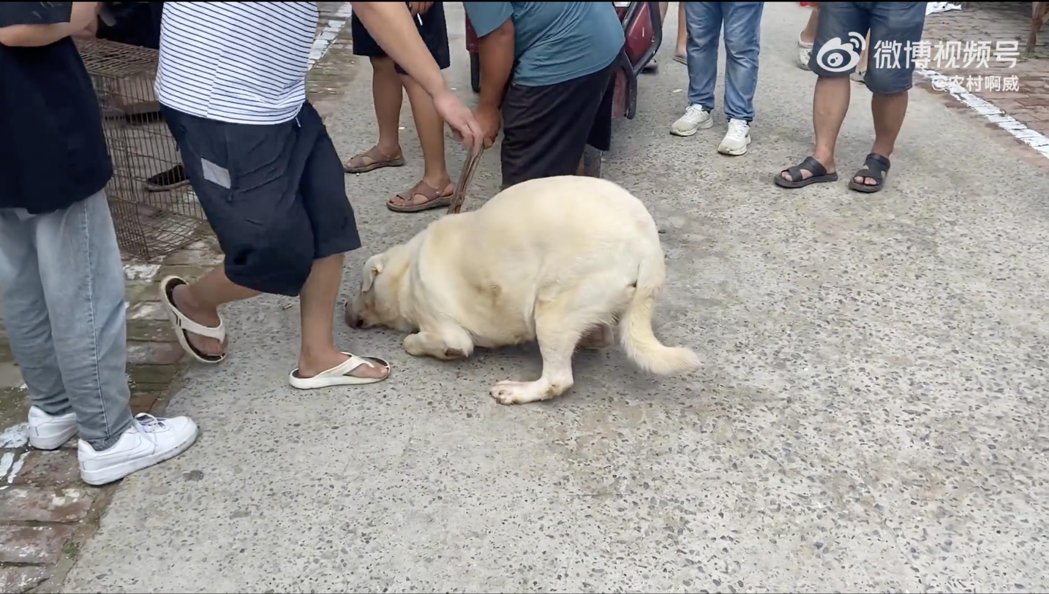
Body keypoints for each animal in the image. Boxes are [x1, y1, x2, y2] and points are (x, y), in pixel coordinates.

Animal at [346, 174, 696, 402]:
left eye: (362, 288)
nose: (346, 310)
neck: (406, 273)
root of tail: (648, 244)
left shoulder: (446, 329)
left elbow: (416, 342)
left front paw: (428, 347)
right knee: (601, 335)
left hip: (555, 305)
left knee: (557, 379)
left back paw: (518, 390)